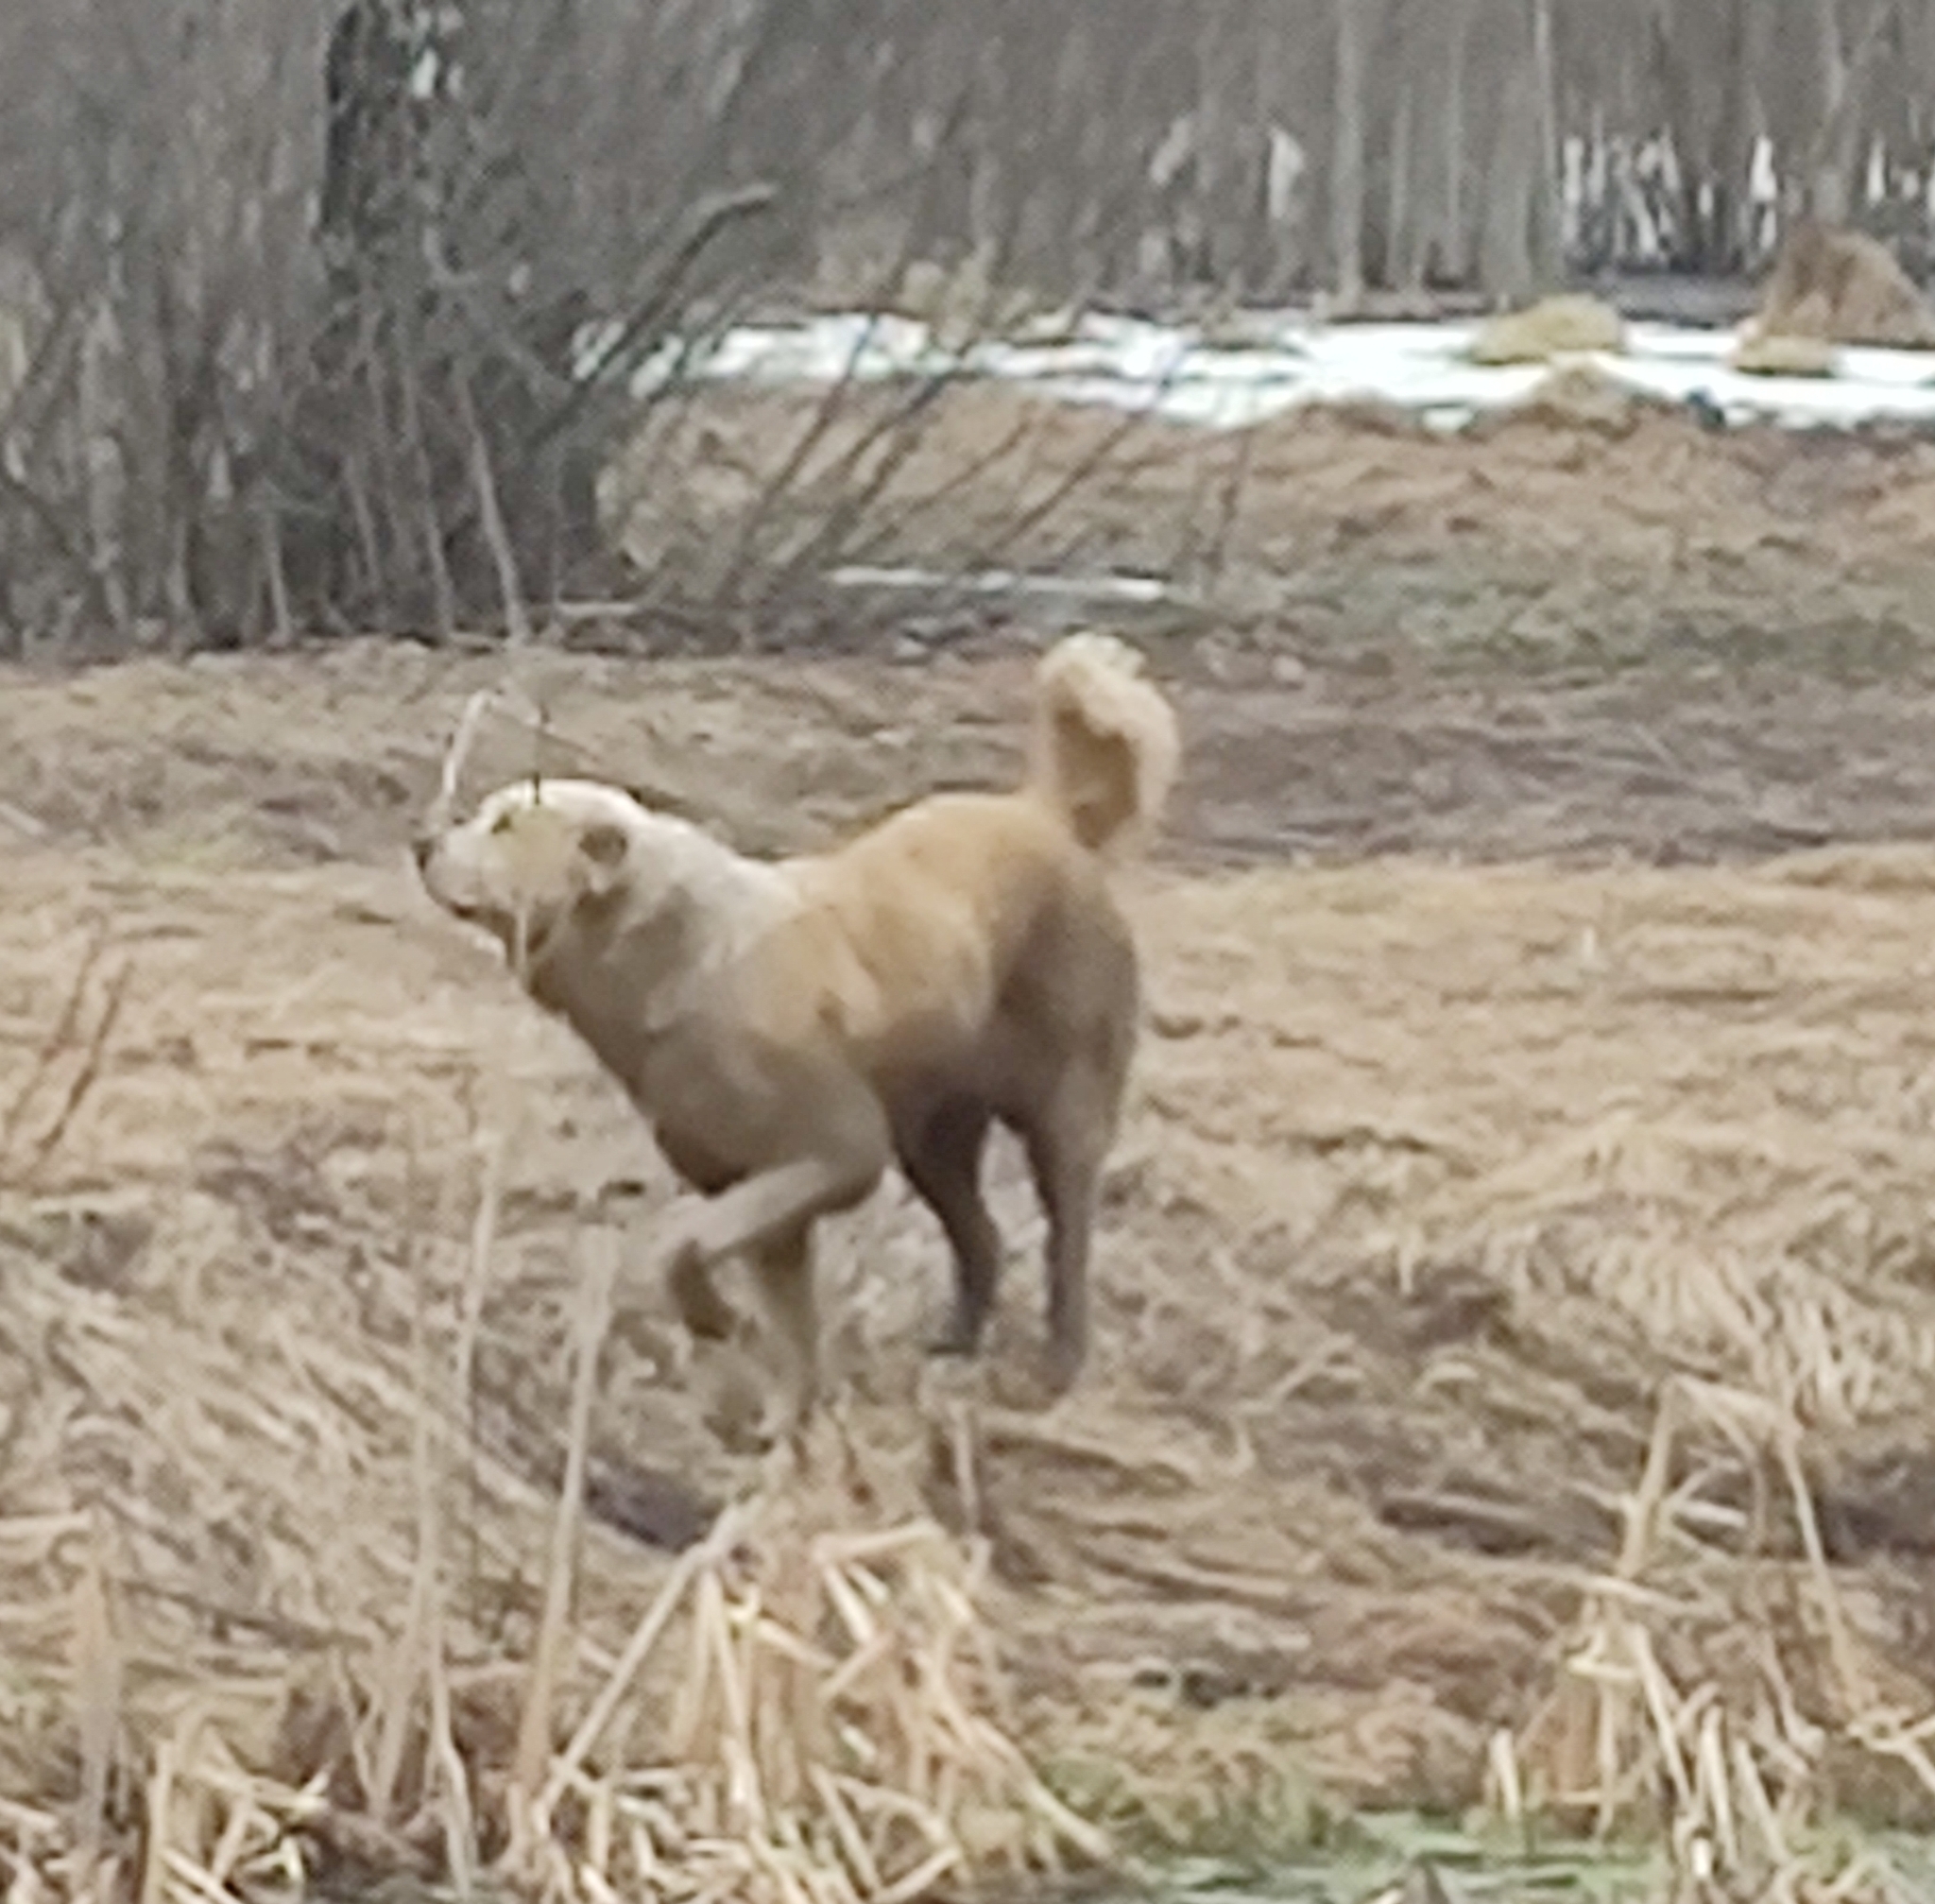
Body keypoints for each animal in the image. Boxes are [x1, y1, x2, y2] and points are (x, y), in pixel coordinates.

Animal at [412, 634, 1176, 1439]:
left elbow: (681, 1245)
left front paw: (718, 1324)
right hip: (931, 1139)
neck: (676, 958)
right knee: (984, 1239)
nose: (422, 841)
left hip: (1061, 1112)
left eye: (503, 825)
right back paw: (952, 1348)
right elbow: (788, 1322)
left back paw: (1056, 1367)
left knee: (1068, 1242)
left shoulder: (837, 1155)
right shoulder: (758, 1193)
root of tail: (1046, 815)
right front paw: (785, 1421)